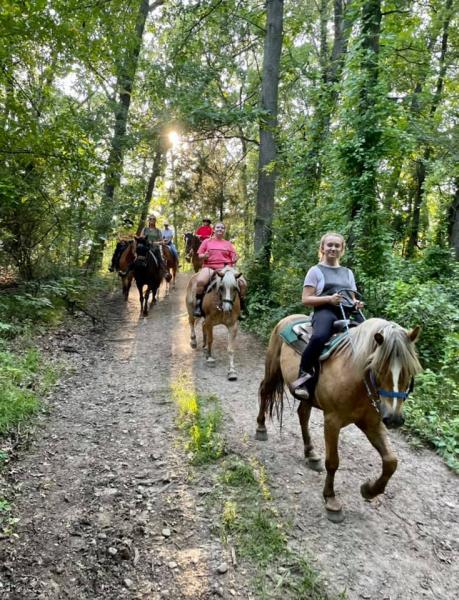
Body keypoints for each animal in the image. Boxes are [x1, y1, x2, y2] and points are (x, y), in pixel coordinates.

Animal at [256, 316, 422, 524]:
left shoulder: (372, 424)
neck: (356, 380)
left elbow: (391, 461)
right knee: (265, 392)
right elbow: (333, 462)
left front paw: (369, 490)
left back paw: (311, 454)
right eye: (379, 367)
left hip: (308, 397)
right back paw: (261, 428)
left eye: (409, 370)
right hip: (272, 369)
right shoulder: (332, 422)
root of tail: (288, 318)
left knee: (303, 415)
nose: (394, 419)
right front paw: (331, 500)